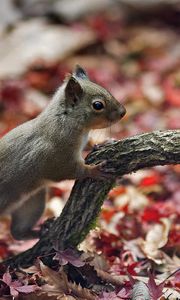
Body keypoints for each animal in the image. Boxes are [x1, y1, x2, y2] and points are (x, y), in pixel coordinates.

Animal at [0, 65, 126, 239]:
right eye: (98, 105)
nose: (123, 112)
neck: (66, 120)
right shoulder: (57, 158)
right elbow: (69, 171)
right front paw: (94, 170)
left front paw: (103, 143)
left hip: (32, 202)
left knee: (18, 232)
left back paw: (41, 230)